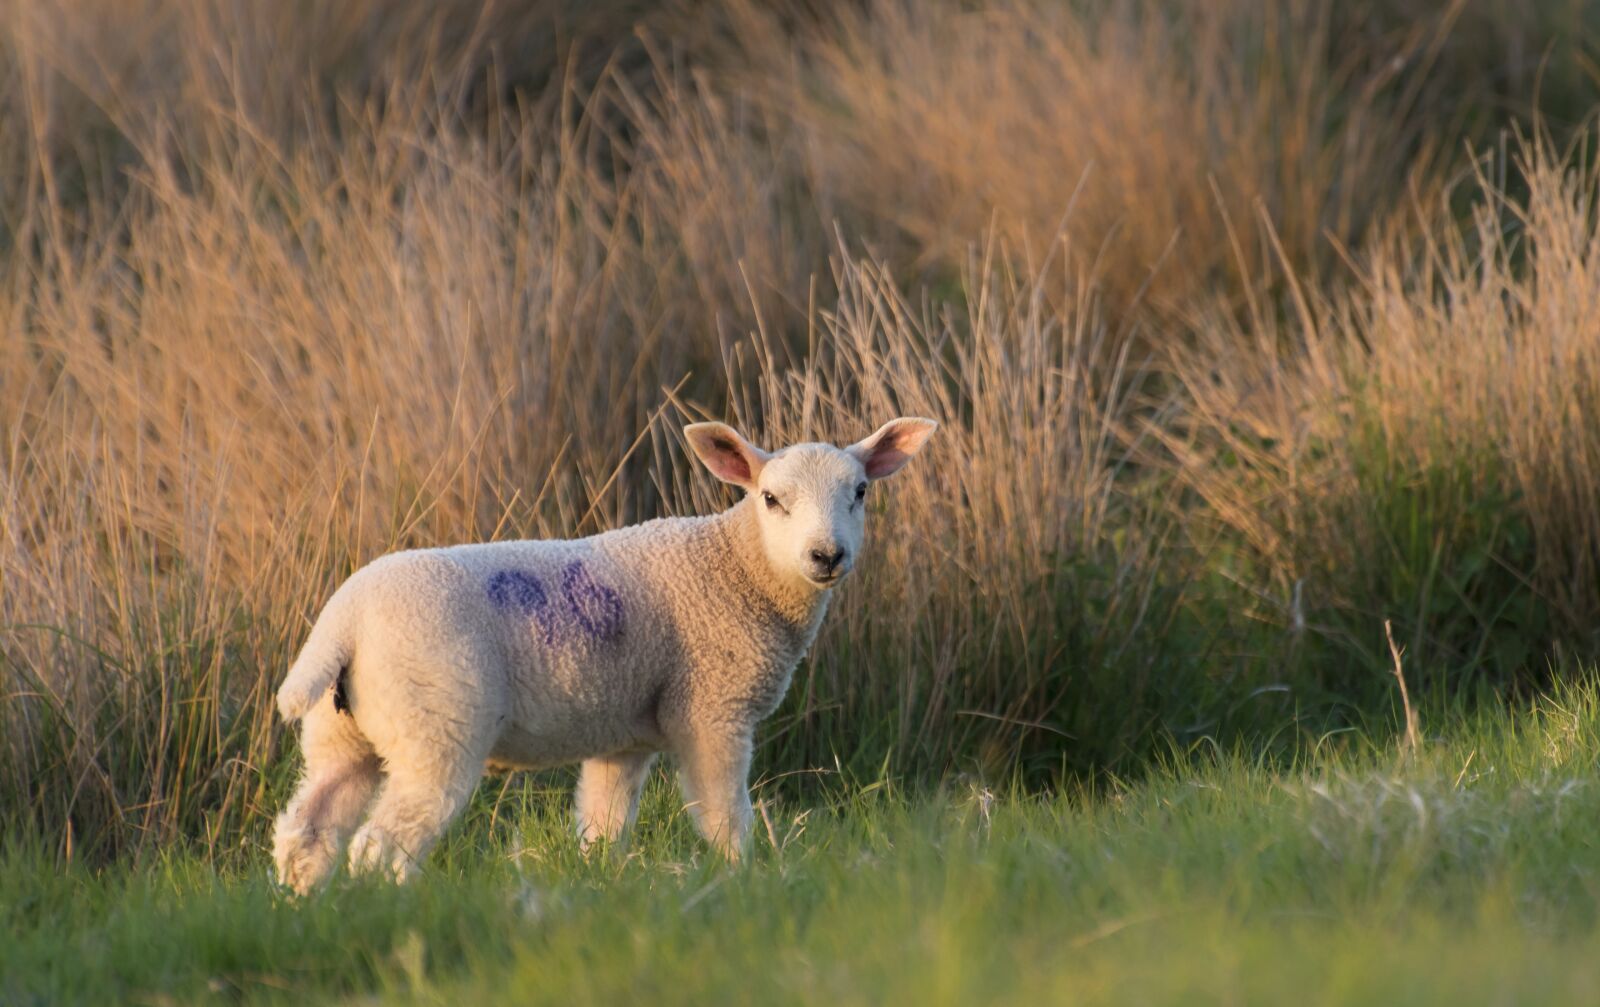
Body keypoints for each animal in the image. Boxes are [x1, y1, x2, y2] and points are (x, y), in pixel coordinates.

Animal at [271, 417, 937, 892]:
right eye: (771, 499)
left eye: (860, 492)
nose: (827, 556)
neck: (738, 567)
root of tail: (344, 620)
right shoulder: (712, 707)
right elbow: (724, 814)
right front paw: (739, 875)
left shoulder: (624, 737)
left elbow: (603, 824)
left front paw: (600, 881)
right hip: (435, 719)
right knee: (381, 844)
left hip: (342, 732)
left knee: (309, 829)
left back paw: (305, 908)